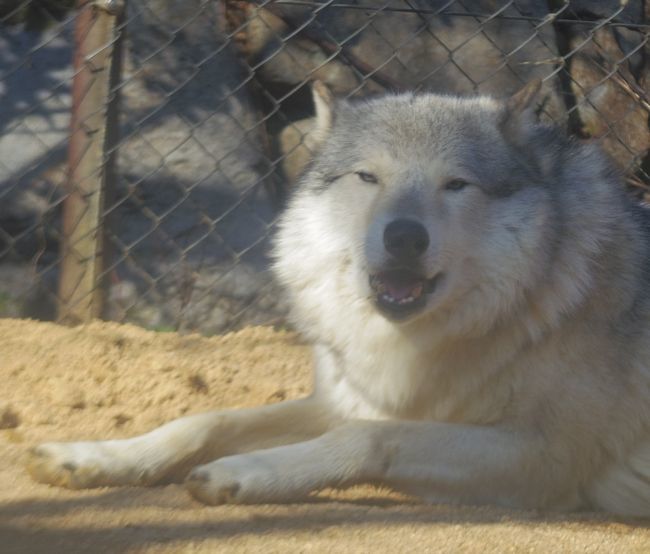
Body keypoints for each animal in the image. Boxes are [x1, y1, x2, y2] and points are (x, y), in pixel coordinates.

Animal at [27, 81, 648, 512]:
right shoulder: (338, 401)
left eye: (455, 184)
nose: (404, 237)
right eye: (367, 177)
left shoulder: (544, 456)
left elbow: (371, 437)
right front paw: (95, 457)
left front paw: (245, 473)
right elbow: (205, 420)